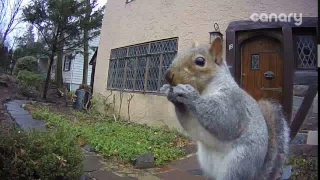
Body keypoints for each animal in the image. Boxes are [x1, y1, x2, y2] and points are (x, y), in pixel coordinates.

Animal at [160, 37, 290, 180]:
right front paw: (170, 93)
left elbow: (225, 121)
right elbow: (191, 125)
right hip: (206, 162)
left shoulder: (233, 102)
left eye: (200, 61)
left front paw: (190, 95)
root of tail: (255, 175)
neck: (204, 90)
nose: (167, 75)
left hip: (238, 164)